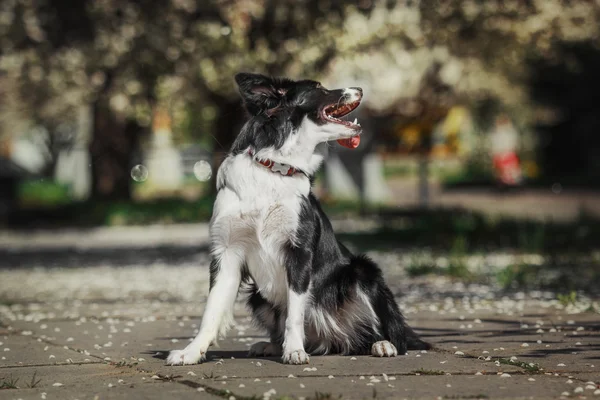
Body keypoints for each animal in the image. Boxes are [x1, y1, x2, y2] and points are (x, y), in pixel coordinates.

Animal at [168, 72, 432, 366]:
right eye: (319, 88)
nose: (360, 88)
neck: (273, 169)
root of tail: (331, 339)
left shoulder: (299, 251)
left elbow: (295, 311)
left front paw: (294, 350)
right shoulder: (226, 252)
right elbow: (211, 311)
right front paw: (191, 352)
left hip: (364, 272)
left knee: (389, 333)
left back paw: (383, 344)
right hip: (258, 296)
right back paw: (271, 345)